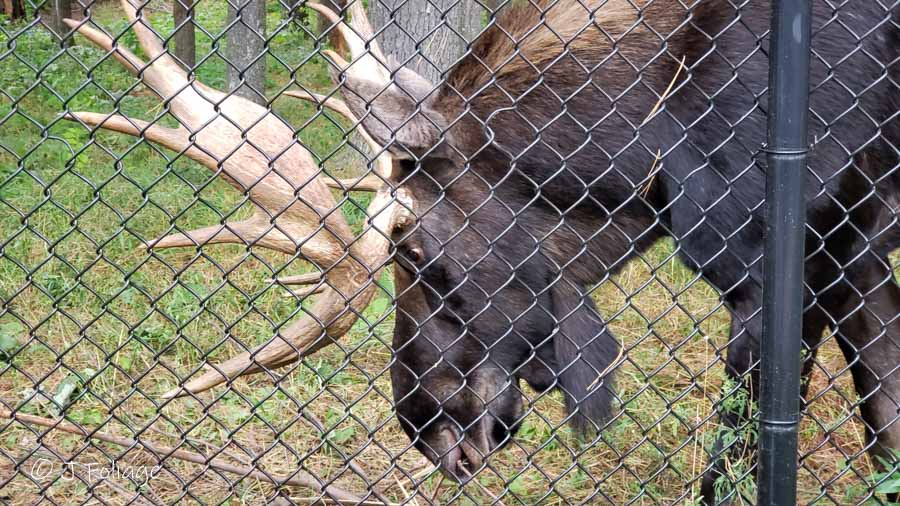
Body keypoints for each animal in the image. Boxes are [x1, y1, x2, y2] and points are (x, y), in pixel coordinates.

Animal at [67, 0, 896, 502]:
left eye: (414, 253)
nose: (425, 430)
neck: (646, 140)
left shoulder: (790, 260)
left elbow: (734, 459)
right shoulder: (857, 253)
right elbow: (884, 426)